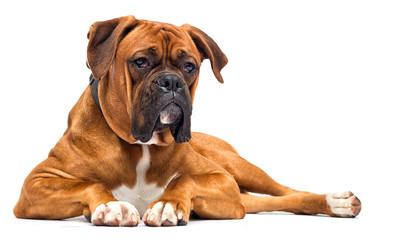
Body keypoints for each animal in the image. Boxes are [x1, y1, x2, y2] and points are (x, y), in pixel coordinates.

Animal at [14, 15, 360, 227]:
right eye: (141, 62)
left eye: (190, 66)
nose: (171, 82)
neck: (142, 146)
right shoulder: (34, 186)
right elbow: (91, 183)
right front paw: (111, 205)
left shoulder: (223, 181)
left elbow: (185, 179)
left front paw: (168, 204)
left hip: (238, 169)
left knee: (286, 191)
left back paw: (335, 202)